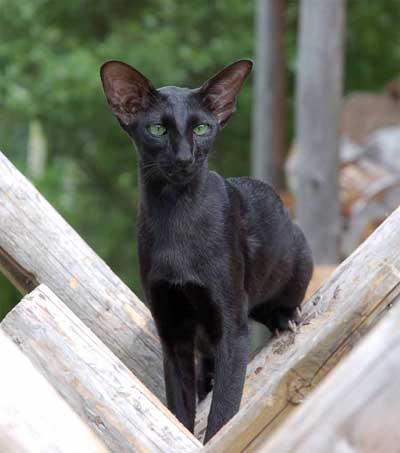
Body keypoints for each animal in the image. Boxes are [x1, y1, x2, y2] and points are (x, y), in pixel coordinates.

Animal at [99, 60, 312, 442]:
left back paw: (285, 319)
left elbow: (224, 413)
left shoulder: (232, 328)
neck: (176, 215)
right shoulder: (172, 332)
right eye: (157, 129)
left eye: (201, 128)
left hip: (295, 257)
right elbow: (179, 409)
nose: (185, 158)